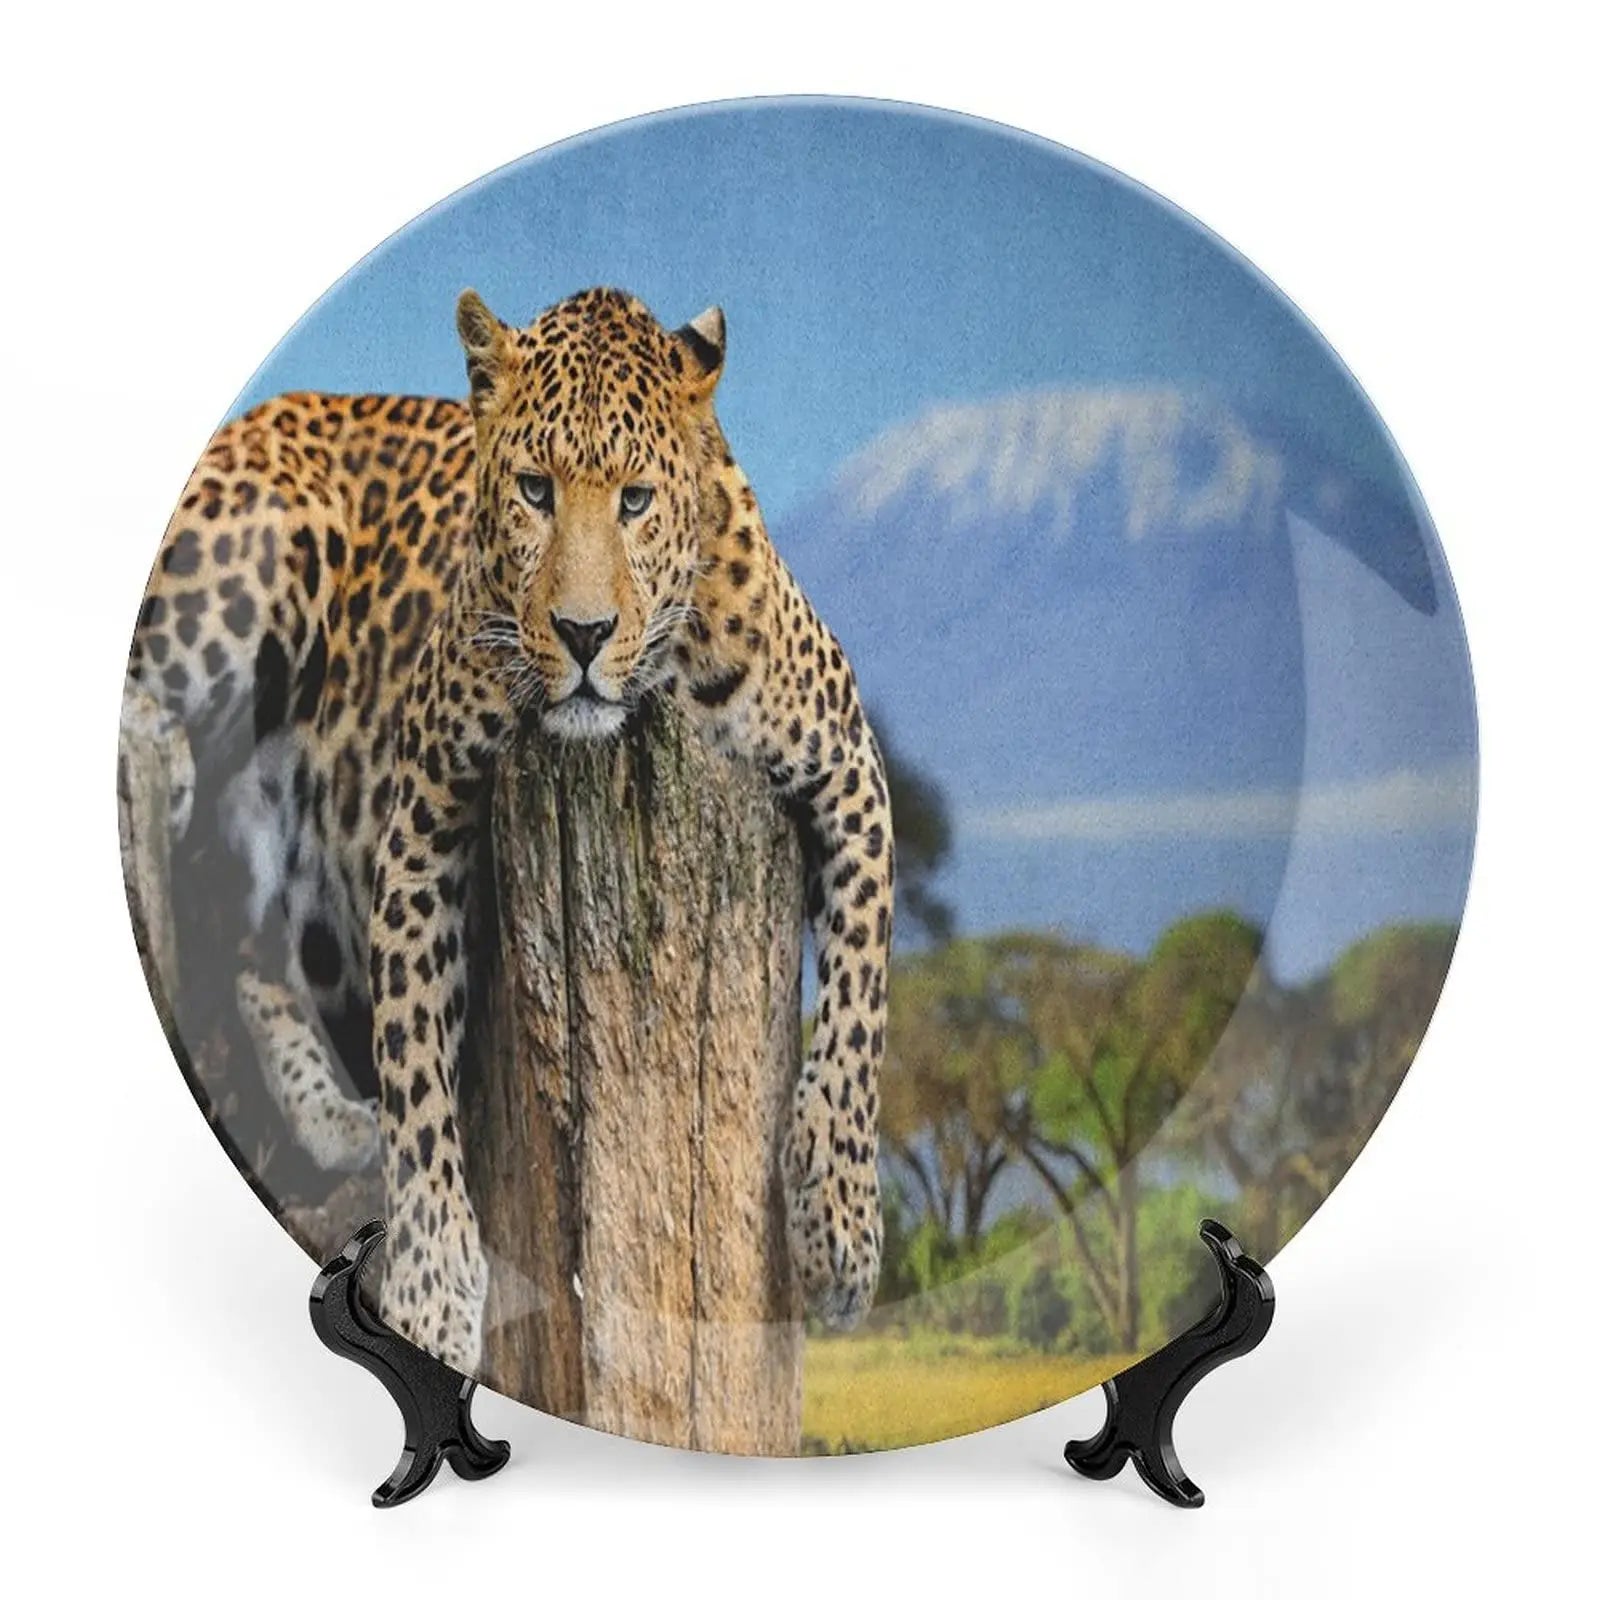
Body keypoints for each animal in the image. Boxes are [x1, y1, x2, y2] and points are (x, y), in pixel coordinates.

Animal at [124, 286, 894, 1372]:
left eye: (635, 500)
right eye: (534, 489)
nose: (582, 634)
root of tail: (262, 412)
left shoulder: (849, 765)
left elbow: (861, 1000)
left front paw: (839, 1224)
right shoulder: (422, 819)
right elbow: (414, 1058)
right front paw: (434, 1287)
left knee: (238, 934)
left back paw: (329, 1117)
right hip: (265, 551)